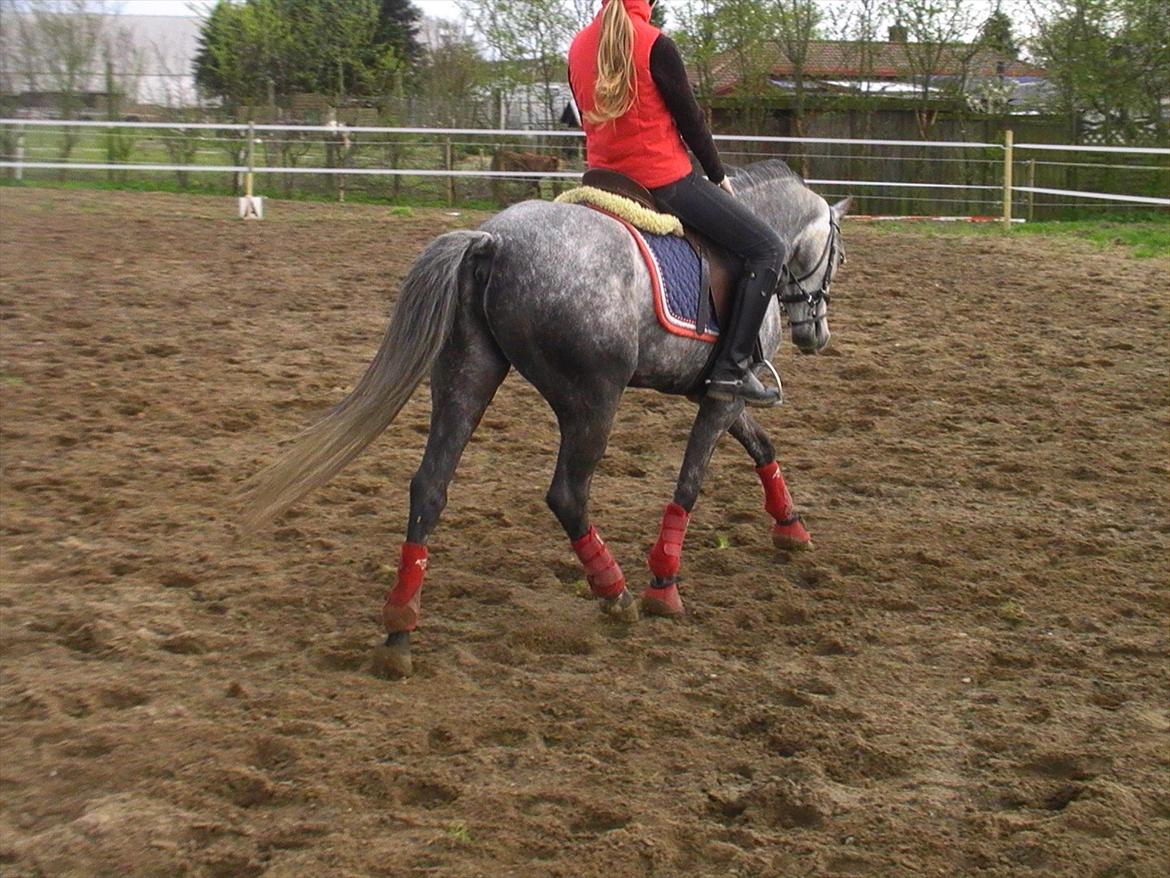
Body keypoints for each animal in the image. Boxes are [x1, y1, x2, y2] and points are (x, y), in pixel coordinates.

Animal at [240, 159, 850, 677]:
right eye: (837, 258)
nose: (815, 335)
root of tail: (494, 241)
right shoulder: (722, 396)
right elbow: (690, 483)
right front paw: (663, 584)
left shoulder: (718, 397)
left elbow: (763, 447)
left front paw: (791, 528)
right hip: (593, 399)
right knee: (567, 494)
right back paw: (615, 593)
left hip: (465, 377)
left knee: (429, 488)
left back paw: (398, 632)